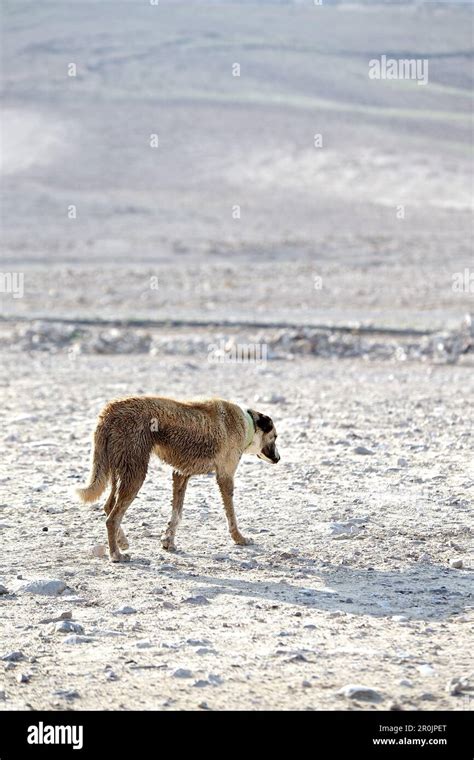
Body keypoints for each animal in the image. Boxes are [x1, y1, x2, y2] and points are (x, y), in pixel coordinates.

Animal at [76, 394, 280, 560]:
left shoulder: (181, 475)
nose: (278, 458)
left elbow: (177, 513)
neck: (247, 423)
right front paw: (239, 538)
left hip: (117, 470)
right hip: (135, 474)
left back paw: (122, 542)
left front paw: (168, 541)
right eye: (276, 437)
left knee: (108, 506)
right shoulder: (225, 477)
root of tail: (110, 410)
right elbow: (231, 515)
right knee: (112, 518)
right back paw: (116, 555)